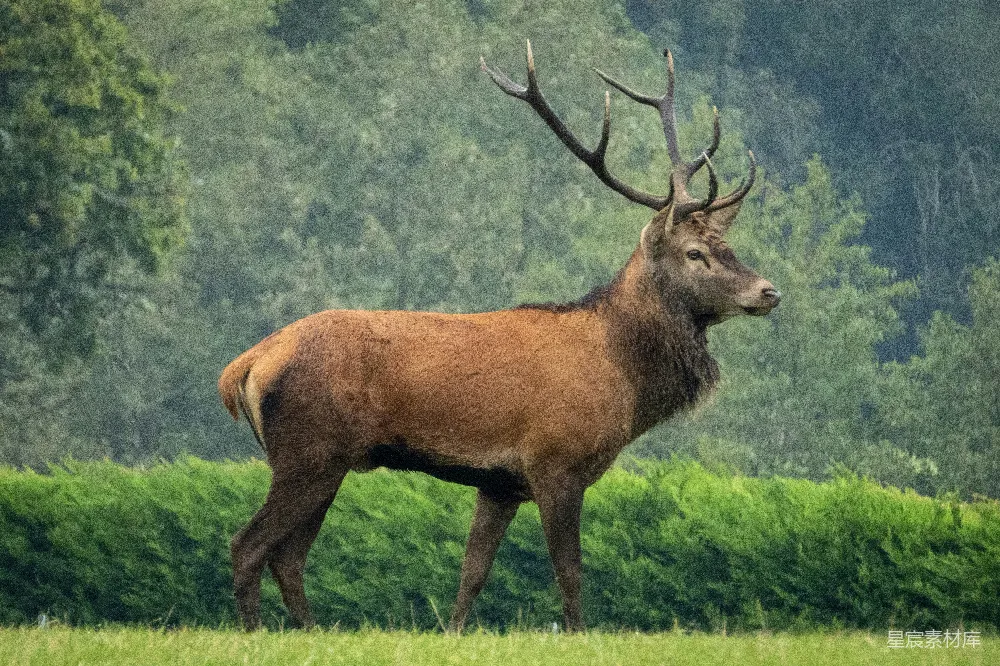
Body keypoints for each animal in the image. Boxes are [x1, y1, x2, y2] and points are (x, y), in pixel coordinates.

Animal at [218, 41, 780, 632]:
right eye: (695, 253)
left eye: (728, 246)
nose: (768, 291)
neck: (623, 379)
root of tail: (246, 365)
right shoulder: (556, 464)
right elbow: (570, 573)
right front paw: (579, 636)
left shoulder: (499, 482)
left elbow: (473, 572)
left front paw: (453, 632)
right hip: (308, 452)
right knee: (249, 545)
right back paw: (257, 633)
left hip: (326, 461)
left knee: (288, 556)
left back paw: (312, 631)